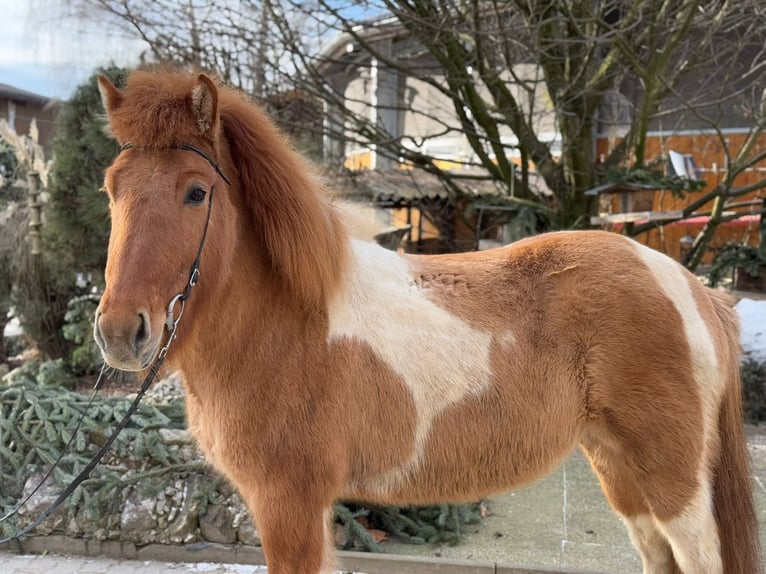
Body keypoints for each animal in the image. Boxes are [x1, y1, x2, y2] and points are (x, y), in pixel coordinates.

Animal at [93, 71, 760, 574]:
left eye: (196, 192)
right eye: (111, 189)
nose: (121, 332)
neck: (286, 323)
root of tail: (696, 291)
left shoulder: (289, 501)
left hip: (674, 483)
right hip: (621, 470)